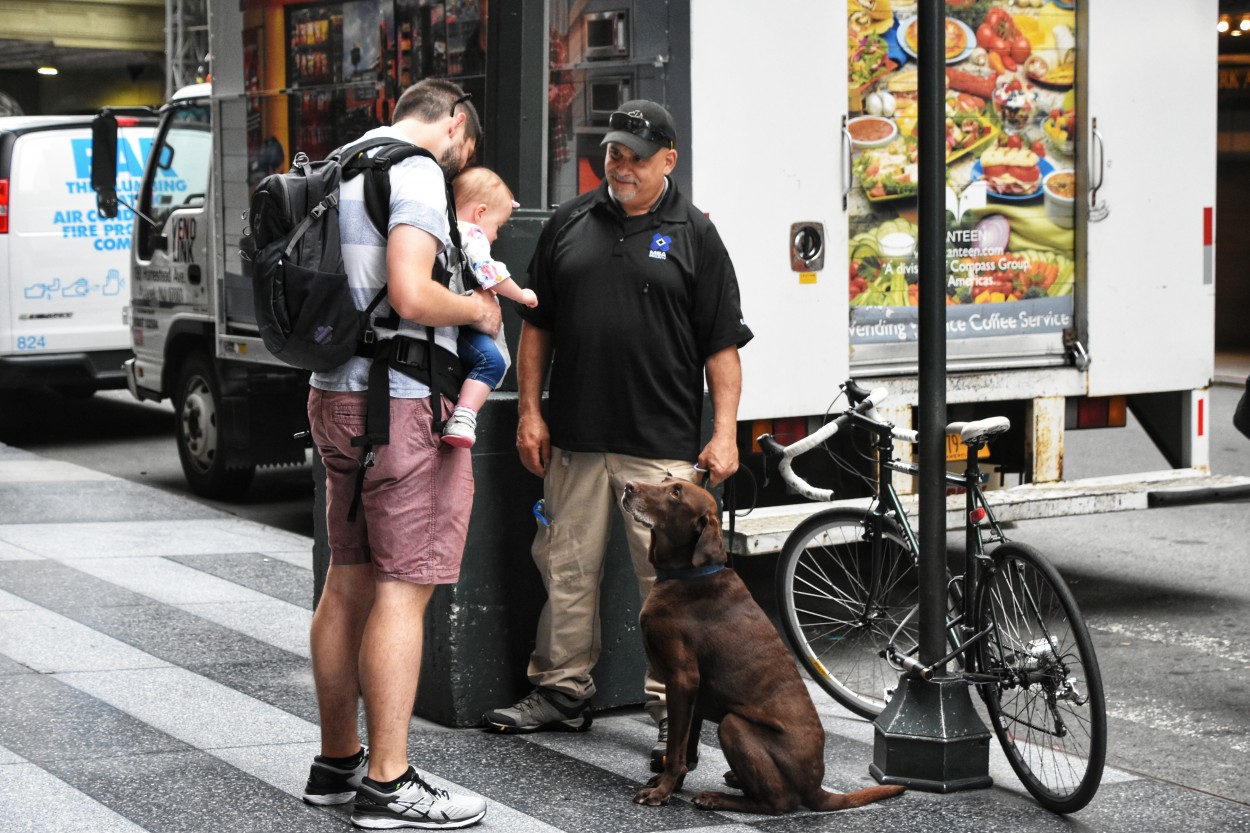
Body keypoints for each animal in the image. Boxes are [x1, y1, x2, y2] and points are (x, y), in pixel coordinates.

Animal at [620, 472, 905, 810]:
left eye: (675, 493)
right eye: (665, 479)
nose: (628, 486)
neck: (688, 574)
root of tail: (816, 788)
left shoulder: (682, 679)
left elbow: (676, 749)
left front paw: (661, 791)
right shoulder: (694, 696)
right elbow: (686, 749)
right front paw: (672, 786)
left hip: (734, 725)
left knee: (778, 803)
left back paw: (716, 798)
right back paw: (732, 780)